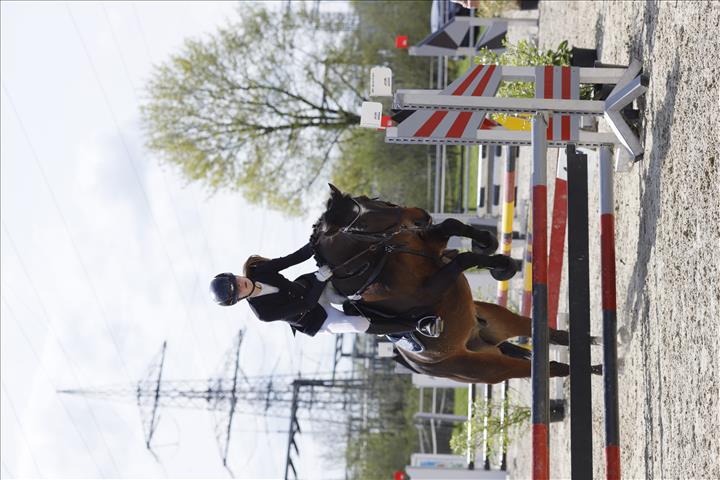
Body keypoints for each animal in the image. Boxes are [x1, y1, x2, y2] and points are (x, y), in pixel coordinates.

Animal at [311, 185, 574, 384]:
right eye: (363, 224)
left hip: (497, 321)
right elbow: (463, 259)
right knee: (545, 367)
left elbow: (451, 225)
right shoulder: (433, 286)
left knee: (541, 333)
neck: (378, 259)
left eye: (370, 199)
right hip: (486, 365)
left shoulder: (427, 243)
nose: (420, 215)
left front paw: (494, 252)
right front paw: (500, 263)